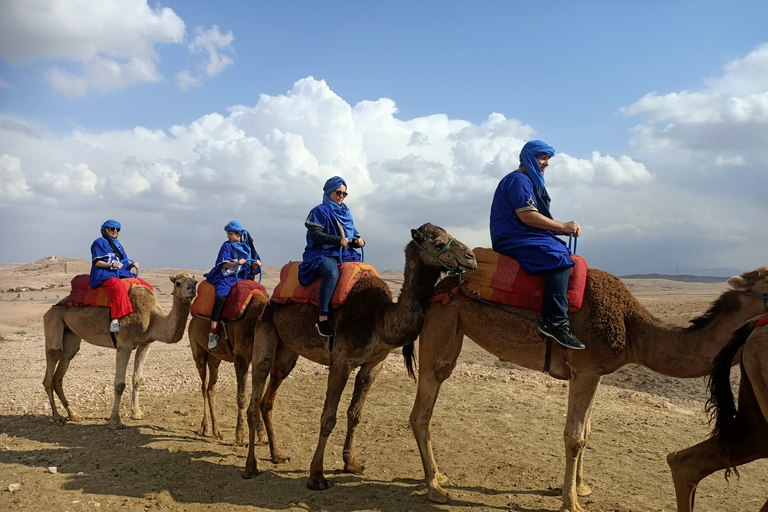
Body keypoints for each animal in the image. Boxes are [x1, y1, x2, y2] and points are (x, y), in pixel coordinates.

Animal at [41, 274, 198, 430]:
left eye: (196, 281)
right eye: (178, 283)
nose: (192, 289)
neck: (152, 317)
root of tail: (50, 309)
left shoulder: (146, 344)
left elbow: (137, 379)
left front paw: (137, 413)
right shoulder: (124, 344)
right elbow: (119, 384)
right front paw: (115, 420)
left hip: (71, 334)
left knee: (62, 368)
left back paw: (73, 415)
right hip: (53, 321)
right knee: (52, 361)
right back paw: (57, 417)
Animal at [186, 290, 270, 446]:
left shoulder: (261, 361)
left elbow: (258, 398)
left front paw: (262, 437)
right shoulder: (241, 358)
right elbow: (242, 397)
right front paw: (240, 436)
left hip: (215, 358)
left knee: (210, 389)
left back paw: (216, 430)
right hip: (198, 351)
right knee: (203, 386)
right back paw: (205, 427)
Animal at [243, 223, 476, 488]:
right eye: (437, 242)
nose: (471, 257)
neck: (379, 319)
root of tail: (271, 298)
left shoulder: (373, 364)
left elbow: (355, 413)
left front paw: (350, 463)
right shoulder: (340, 362)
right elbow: (328, 417)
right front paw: (317, 475)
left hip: (288, 351)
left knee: (269, 398)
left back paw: (277, 455)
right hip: (265, 325)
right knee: (258, 385)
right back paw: (251, 467)